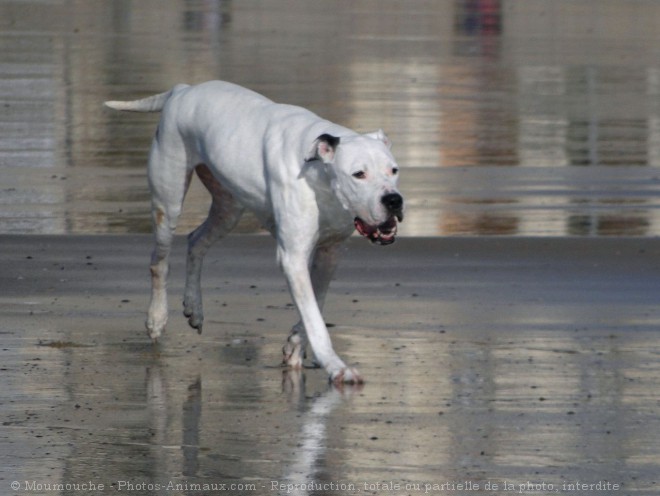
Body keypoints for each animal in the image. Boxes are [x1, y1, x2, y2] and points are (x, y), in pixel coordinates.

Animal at [104, 80, 402, 384]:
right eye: (359, 174)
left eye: (393, 170)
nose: (393, 200)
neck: (319, 175)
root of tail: (183, 90)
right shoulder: (293, 257)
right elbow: (315, 320)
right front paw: (336, 366)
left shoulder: (330, 253)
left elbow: (315, 304)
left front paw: (295, 345)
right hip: (169, 201)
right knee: (159, 261)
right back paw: (156, 318)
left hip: (228, 209)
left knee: (196, 240)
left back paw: (194, 306)